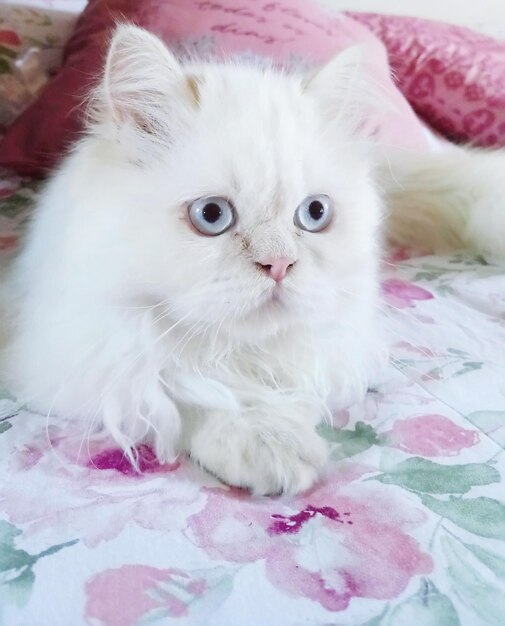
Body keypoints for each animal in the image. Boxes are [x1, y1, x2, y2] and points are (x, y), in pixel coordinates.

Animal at [1, 24, 502, 494]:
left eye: (314, 213)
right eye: (212, 215)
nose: (279, 265)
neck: (237, 353)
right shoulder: (78, 354)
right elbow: (181, 387)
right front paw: (266, 441)